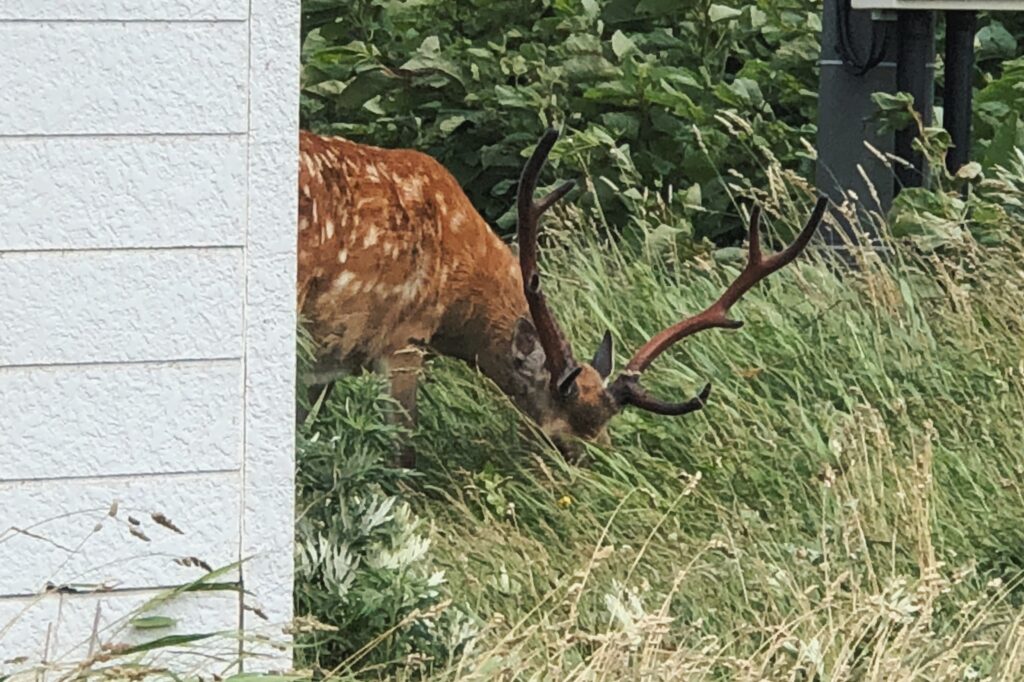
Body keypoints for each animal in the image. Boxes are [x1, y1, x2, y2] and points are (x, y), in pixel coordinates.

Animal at [292, 127, 827, 464]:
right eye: (559, 437)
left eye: (607, 433)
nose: (601, 475)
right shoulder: (403, 339)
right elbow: (403, 455)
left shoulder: (331, 356)